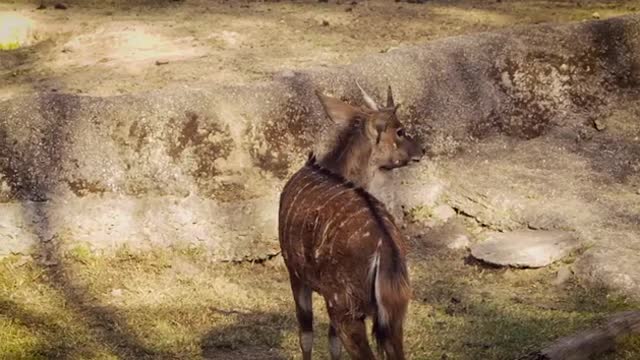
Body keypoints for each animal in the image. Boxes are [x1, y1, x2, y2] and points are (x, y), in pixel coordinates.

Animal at [278, 83, 422, 358]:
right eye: (400, 130)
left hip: (344, 306)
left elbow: (307, 336)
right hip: (393, 313)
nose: (422, 149)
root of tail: (386, 253)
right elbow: (327, 343)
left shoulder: (296, 272)